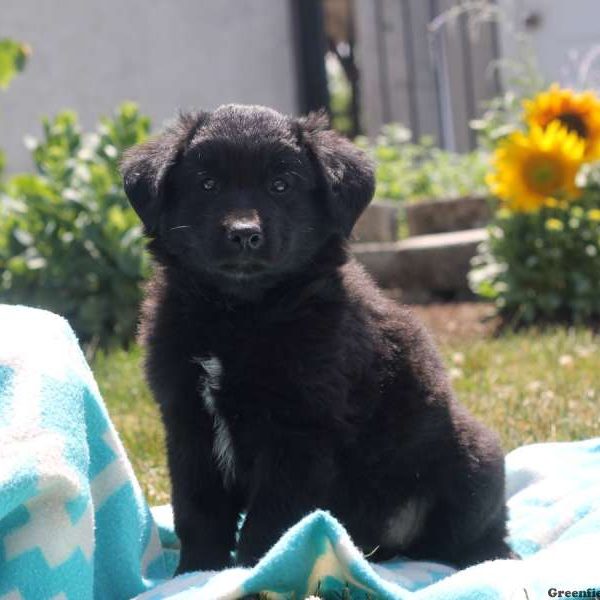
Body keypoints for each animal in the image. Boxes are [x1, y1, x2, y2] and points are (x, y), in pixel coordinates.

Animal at [120, 105, 510, 576]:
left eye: (281, 185)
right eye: (207, 183)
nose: (244, 233)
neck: (240, 315)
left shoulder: (299, 434)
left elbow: (270, 522)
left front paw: (256, 574)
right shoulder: (186, 422)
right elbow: (197, 509)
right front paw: (196, 574)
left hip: (476, 461)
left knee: (481, 532)